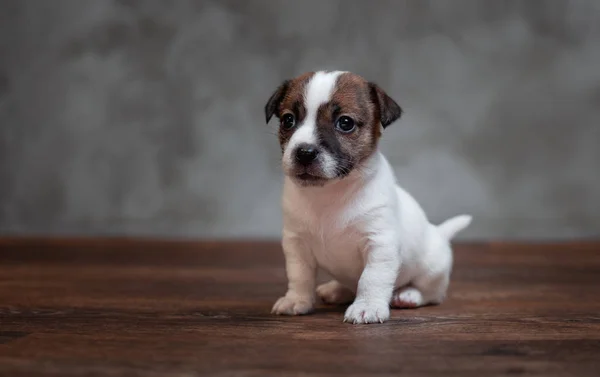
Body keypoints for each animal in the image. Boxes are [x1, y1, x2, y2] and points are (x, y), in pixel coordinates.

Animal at [264, 70, 472, 324]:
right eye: (288, 120)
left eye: (345, 123)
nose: (304, 152)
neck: (329, 193)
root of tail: (439, 234)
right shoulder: (296, 244)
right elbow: (299, 275)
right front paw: (297, 300)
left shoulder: (380, 243)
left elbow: (371, 278)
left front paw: (368, 307)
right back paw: (337, 289)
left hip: (432, 270)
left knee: (432, 293)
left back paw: (409, 295)